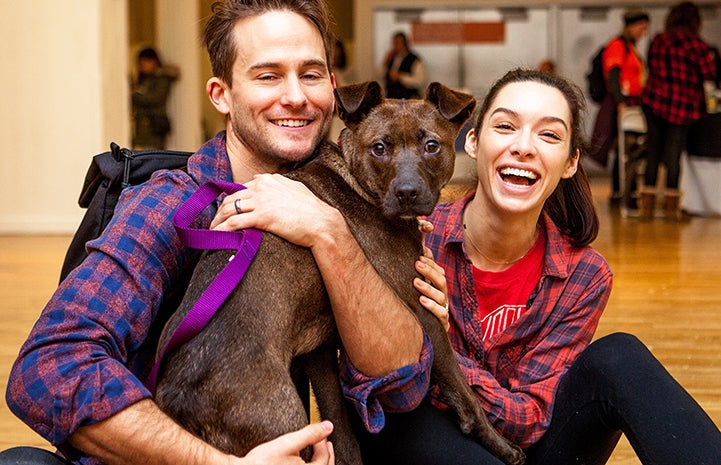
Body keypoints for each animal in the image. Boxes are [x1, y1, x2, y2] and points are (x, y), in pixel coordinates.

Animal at [155, 80, 524, 464]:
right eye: (379, 148)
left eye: (432, 146)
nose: (407, 193)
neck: (357, 183)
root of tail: (183, 396)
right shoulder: (423, 315)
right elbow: (464, 393)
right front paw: (503, 447)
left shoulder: (318, 352)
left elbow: (341, 428)